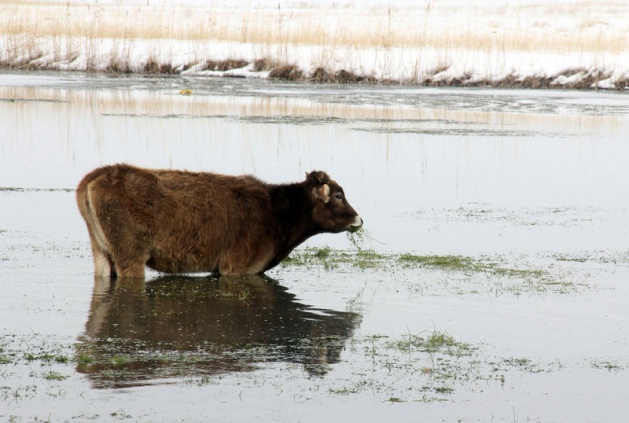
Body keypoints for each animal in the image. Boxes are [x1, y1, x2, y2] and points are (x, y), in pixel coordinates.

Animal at [77, 165, 364, 278]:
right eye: (339, 195)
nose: (359, 219)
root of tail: (101, 173)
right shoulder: (237, 267)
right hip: (130, 254)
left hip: (101, 250)